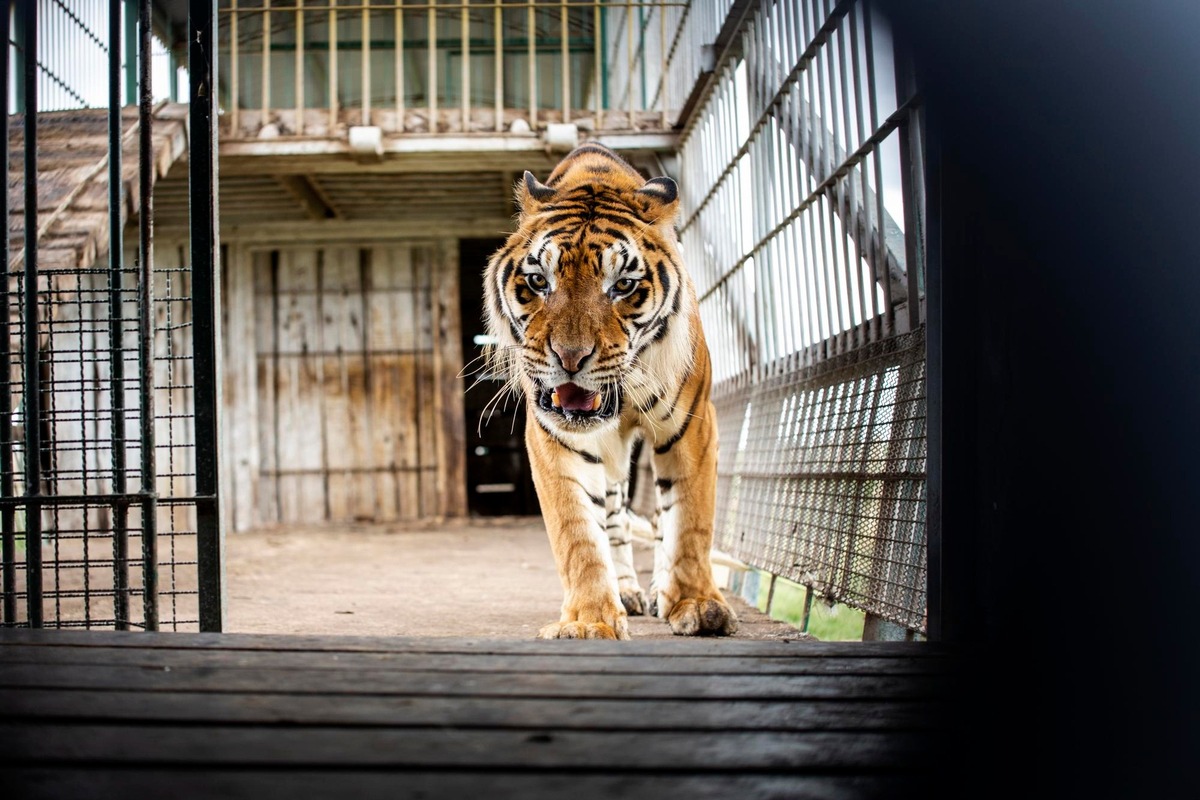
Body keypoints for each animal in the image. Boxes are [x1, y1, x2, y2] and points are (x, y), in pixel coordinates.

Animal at [482, 143, 734, 642]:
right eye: (539, 281)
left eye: (623, 286)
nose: (570, 357)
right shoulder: (554, 437)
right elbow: (578, 532)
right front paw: (589, 619)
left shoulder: (692, 424)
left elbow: (690, 520)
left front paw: (698, 604)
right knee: (614, 518)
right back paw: (628, 590)